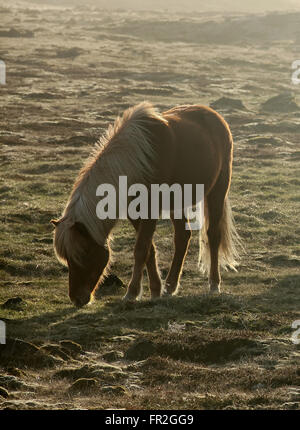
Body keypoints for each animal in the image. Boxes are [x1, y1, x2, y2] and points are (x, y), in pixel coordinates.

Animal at [50, 102, 240, 308]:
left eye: (83, 253)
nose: (77, 299)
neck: (136, 163)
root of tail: (214, 116)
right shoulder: (134, 213)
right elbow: (150, 249)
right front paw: (156, 290)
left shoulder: (150, 211)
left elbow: (141, 249)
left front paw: (132, 293)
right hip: (177, 203)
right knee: (182, 237)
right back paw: (170, 287)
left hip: (218, 191)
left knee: (213, 236)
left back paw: (213, 284)